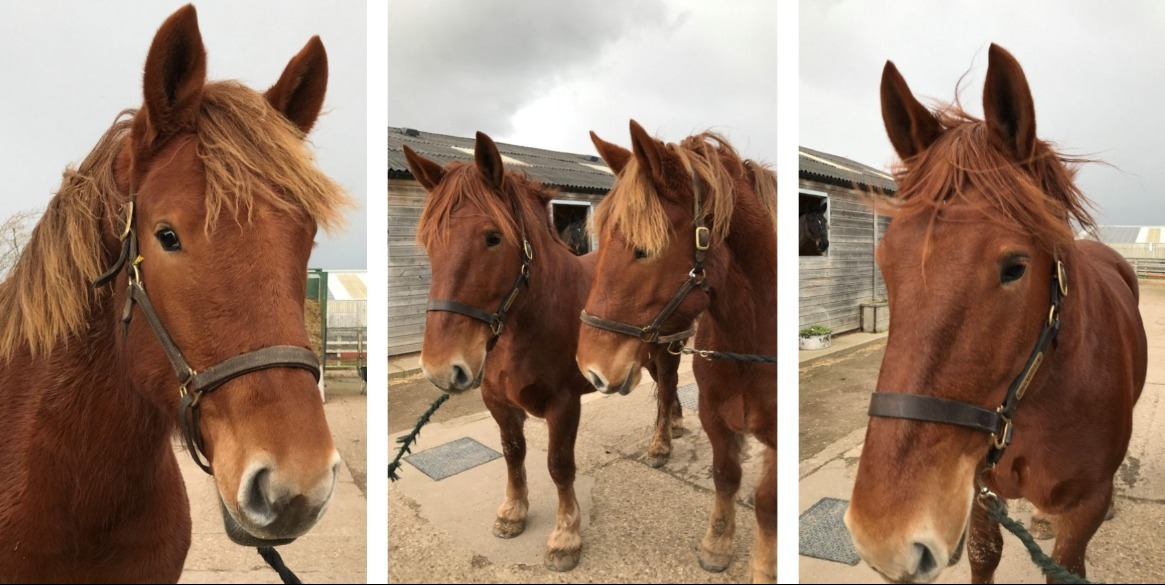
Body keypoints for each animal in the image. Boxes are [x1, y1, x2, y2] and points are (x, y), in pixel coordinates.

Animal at [407, 132, 685, 571]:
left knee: (669, 387)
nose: (440, 369)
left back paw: (661, 444)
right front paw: (512, 512)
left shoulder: (564, 404)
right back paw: (674, 423)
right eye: (430, 242)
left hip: (666, 351)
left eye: (493, 237)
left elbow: (559, 465)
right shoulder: (497, 402)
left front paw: (566, 536)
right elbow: (512, 453)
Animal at [580, 121, 778, 582]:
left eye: (644, 250)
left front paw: (763, 565)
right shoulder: (714, 414)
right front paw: (718, 543)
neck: (751, 346)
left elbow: (768, 501)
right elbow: (725, 475)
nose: (590, 369)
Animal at [848, 43, 1146, 582]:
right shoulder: (980, 495)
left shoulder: (1085, 509)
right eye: (885, 260)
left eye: (1015, 267)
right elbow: (985, 554)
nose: (883, 536)